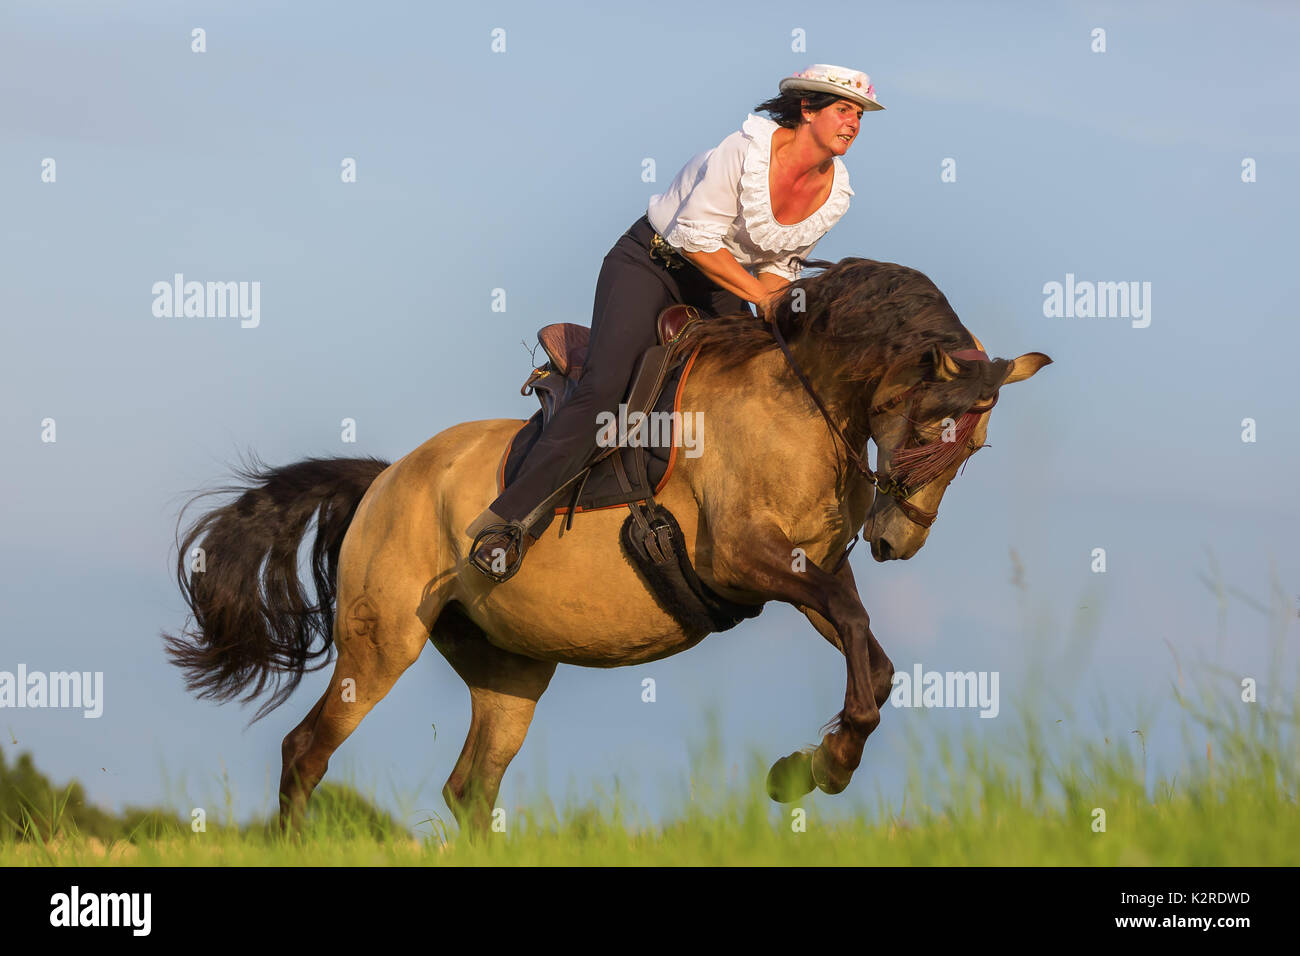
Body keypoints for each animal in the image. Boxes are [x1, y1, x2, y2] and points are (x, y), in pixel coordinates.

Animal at [164, 257, 1051, 836]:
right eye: (931, 427)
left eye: (974, 447)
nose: (898, 540)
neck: (803, 402)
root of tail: (387, 479)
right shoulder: (747, 561)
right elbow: (858, 637)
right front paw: (817, 768)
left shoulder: (810, 572)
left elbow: (871, 653)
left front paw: (815, 763)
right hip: (382, 643)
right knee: (307, 750)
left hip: (509, 670)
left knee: (469, 791)